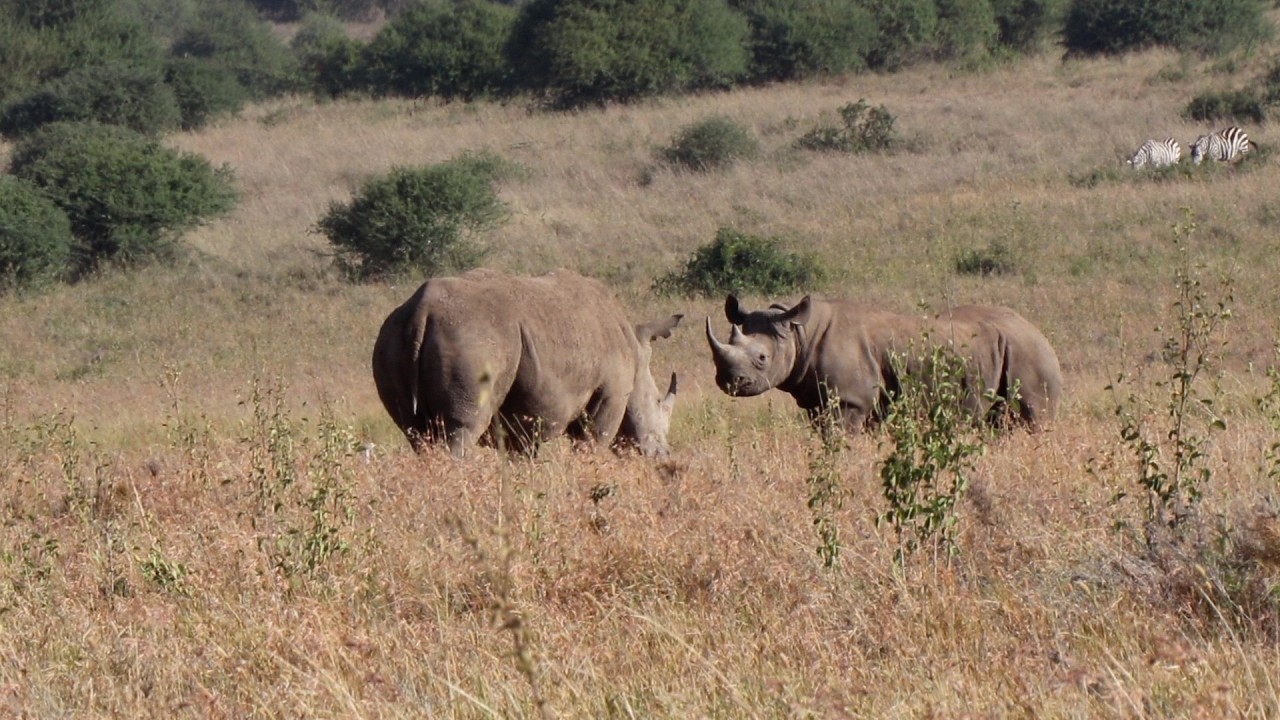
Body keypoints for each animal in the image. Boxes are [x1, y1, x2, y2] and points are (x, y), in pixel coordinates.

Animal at [373, 268, 683, 458]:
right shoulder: (611, 396)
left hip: (390, 338)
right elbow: (593, 443)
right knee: (463, 428)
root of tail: (421, 308)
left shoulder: (523, 422)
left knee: (415, 433)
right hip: (472, 338)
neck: (635, 350)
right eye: (657, 402)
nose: (663, 456)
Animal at [705, 294, 1062, 433]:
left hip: (1027, 352)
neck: (797, 332)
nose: (729, 382)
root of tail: (1041, 333)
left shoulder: (849, 401)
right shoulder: (819, 401)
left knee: (1032, 417)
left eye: (762, 358)